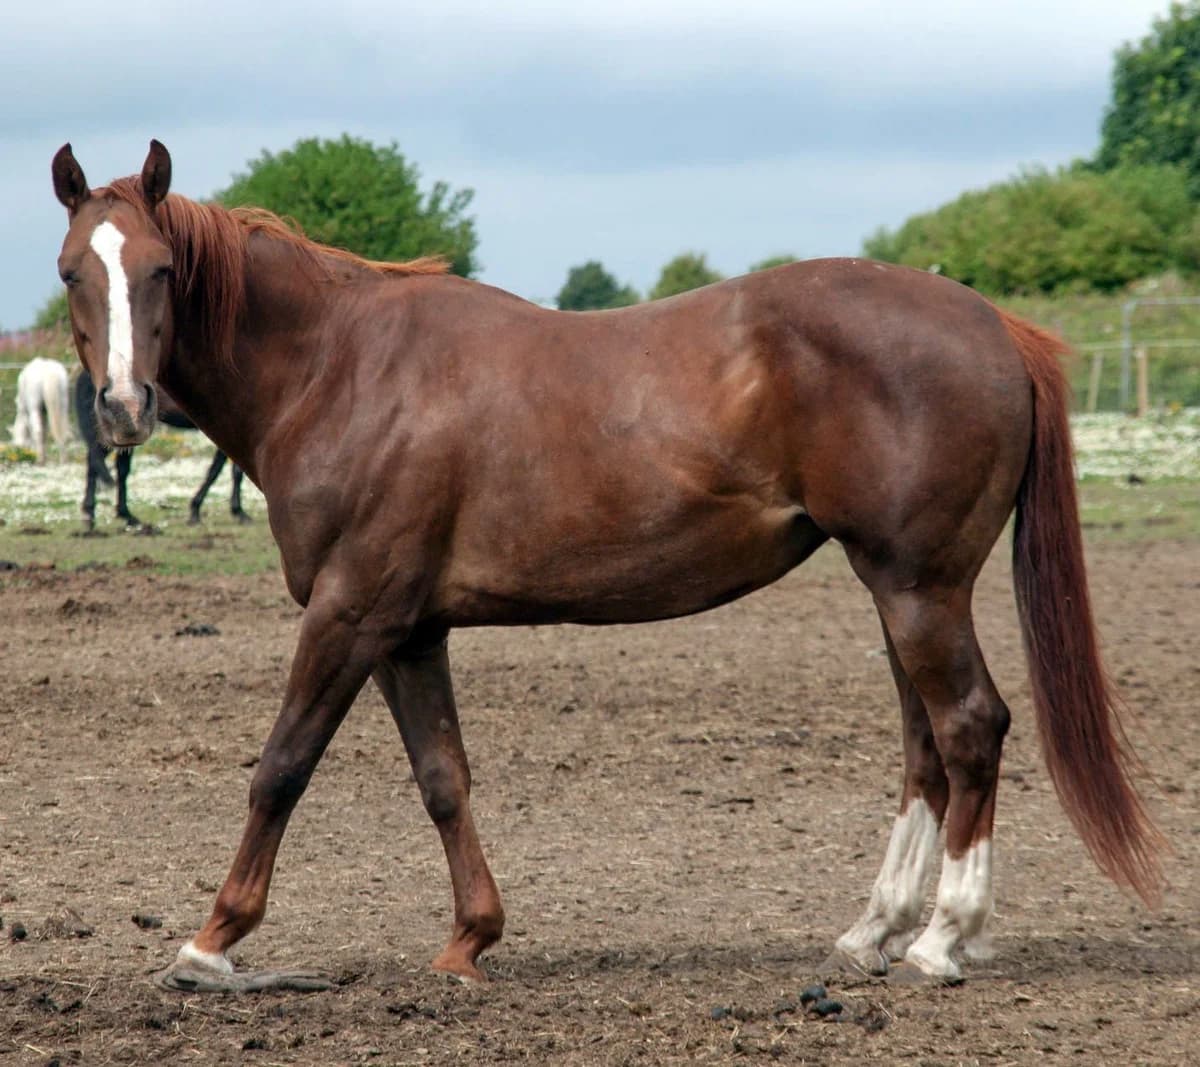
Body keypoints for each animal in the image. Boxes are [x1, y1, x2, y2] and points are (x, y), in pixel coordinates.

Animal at [74, 368, 249, 529]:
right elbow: (219, 471)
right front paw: (200, 511)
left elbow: (227, 471)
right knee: (97, 462)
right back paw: (94, 516)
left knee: (112, 466)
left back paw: (121, 516)